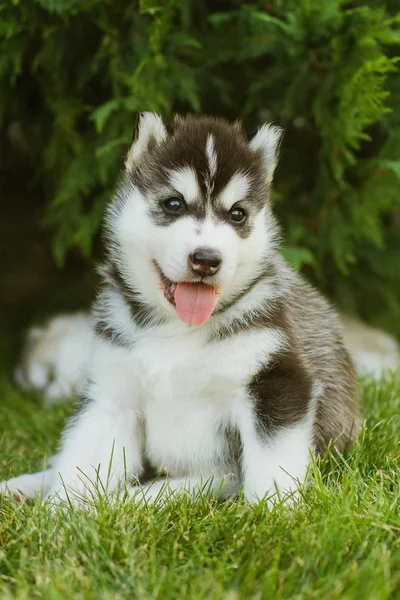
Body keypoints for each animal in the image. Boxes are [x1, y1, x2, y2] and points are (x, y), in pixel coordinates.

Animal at [0, 113, 358, 506]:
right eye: (174, 204)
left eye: (237, 214)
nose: (207, 259)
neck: (177, 330)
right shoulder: (113, 392)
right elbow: (81, 461)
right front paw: (63, 512)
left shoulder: (277, 380)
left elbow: (270, 466)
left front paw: (273, 512)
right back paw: (24, 486)